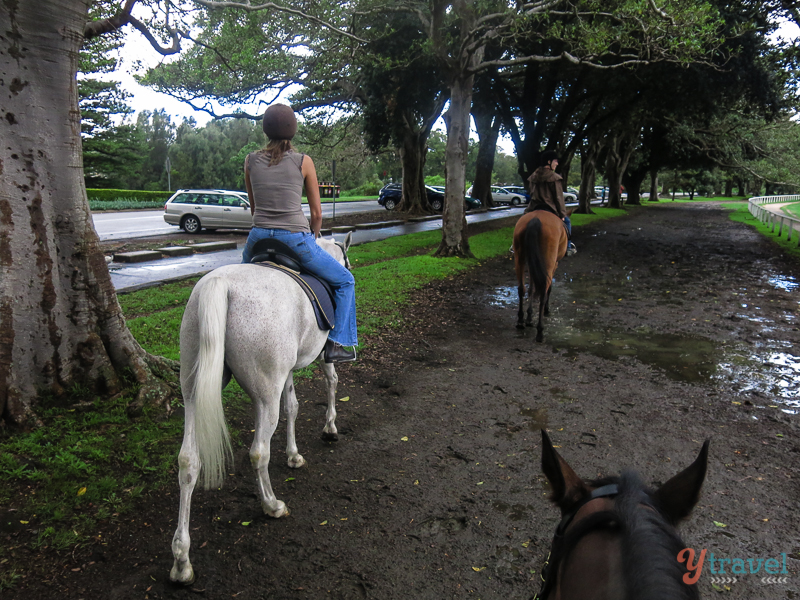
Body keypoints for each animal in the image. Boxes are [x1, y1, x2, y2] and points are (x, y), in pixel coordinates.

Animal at [170, 234, 352, 584]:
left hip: (192, 391)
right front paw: (330, 428)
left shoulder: (288, 372)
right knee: (258, 452)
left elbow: (293, 406)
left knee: (188, 461)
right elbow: (331, 382)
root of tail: (220, 285)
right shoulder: (322, 355)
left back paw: (182, 560)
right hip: (265, 394)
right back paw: (271, 504)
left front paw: (294, 455)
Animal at [512, 209, 568, 340]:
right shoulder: (555, 264)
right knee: (543, 292)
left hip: (519, 258)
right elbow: (549, 288)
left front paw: (529, 317)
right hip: (548, 262)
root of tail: (536, 218)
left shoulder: (533, 263)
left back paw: (520, 320)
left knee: (521, 288)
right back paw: (540, 331)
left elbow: (531, 288)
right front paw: (546, 310)